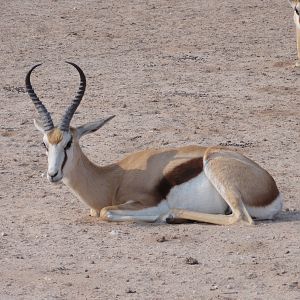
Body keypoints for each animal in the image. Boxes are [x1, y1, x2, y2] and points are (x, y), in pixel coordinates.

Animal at [25, 62, 282, 224]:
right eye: (44, 144)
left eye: (68, 142)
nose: (53, 174)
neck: (112, 178)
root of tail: (272, 189)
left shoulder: (145, 202)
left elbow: (106, 212)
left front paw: (161, 216)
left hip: (215, 167)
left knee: (241, 218)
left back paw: (173, 215)